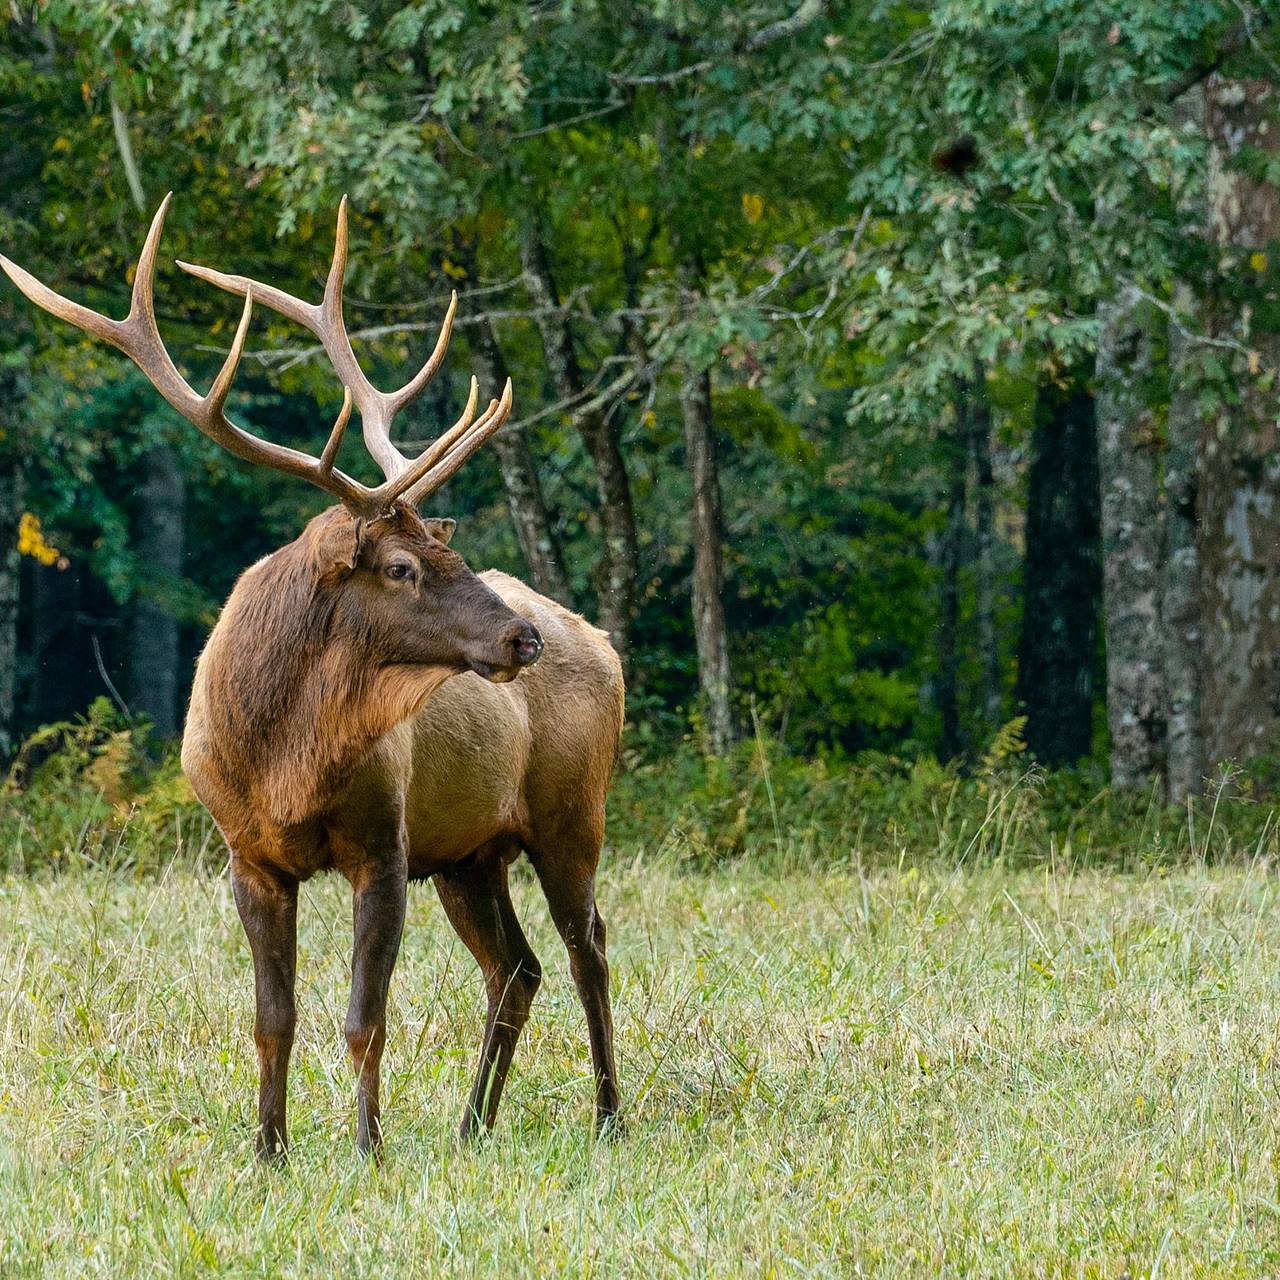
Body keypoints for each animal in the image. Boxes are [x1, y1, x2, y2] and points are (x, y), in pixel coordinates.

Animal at [3, 197, 624, 1162]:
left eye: (447, 548)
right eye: (404, 566)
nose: (521, 640)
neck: (284, 759)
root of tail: (605, 643)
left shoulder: (385, 844)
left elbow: (365, 1018)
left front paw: (367, 1149)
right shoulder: (248, 854)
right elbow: (274, 1019)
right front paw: (269, 1151)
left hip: (569, 811)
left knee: (587, 947)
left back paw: (607, 1116)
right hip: (470, 852)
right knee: (516, 968)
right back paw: (471, 1126)